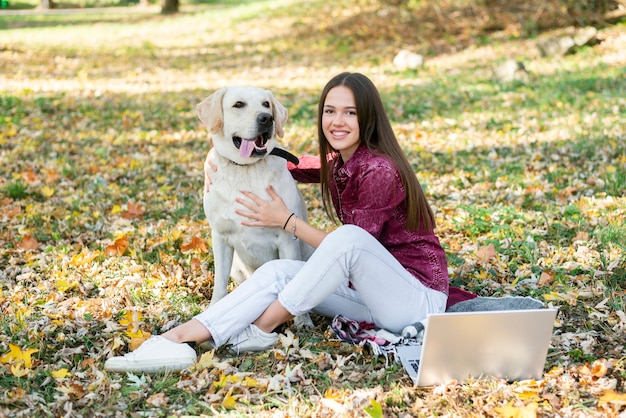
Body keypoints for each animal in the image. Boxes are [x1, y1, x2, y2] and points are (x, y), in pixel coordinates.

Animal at [195, 85, 312, 326]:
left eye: (266, 104)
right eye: (238, 104)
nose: (266, 118)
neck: (245, 169)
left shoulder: (287, 238)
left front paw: (302, 321)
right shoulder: (220, 237)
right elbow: (219, 284)